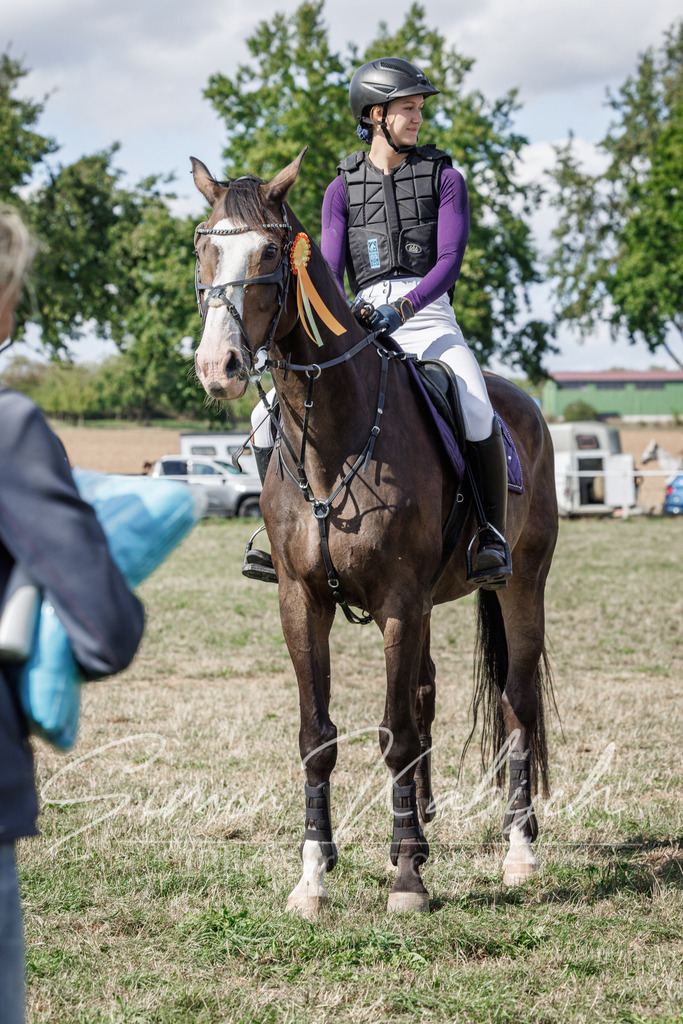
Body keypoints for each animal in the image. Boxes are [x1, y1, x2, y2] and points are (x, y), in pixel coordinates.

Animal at [190, 149, 558, 916]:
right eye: (206, 249)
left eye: (268, 252)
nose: (219, 367)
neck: (334, 440)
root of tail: (524, 405)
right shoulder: (301, 601)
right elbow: (317, 735)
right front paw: (313, 877)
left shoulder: (398, 600)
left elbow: (394, 734)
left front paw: (409, 879)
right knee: (427, 694)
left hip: (520, 586)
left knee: (516, 705)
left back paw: (517, 851)